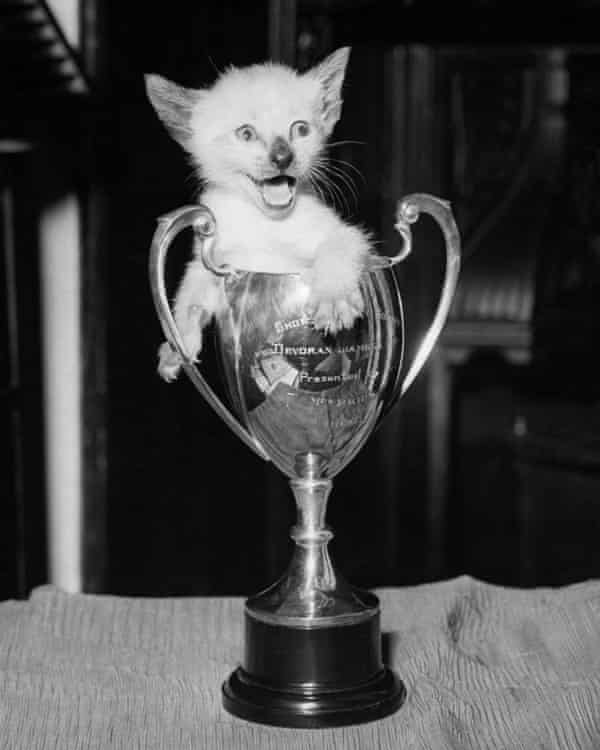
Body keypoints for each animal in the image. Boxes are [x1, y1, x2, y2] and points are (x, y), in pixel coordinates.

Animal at [145, 45, 376, 382]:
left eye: (301, 129)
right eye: (246, 134)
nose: (283, 157)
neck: (266, 224)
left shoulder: (346, 235)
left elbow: (338, 247)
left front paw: (334, 299)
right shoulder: (214, 265)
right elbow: (189, 301)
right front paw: (179, 344)